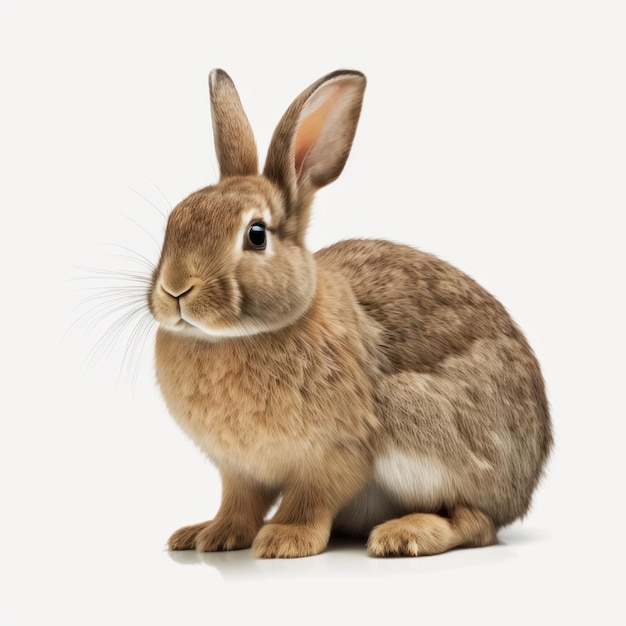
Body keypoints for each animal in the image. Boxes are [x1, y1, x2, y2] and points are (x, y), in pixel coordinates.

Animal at [150, 68, 552, 556]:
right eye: (174, 220)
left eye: (256, 234)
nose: (175, 289)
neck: (241, 336)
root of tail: (525, 486)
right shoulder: (238, 470)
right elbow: (239, 503)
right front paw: (214, 534)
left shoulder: (336, 453)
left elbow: (311, 498)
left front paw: (284, 539)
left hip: (420, 418)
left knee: (474, 522)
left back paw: (403, 534)